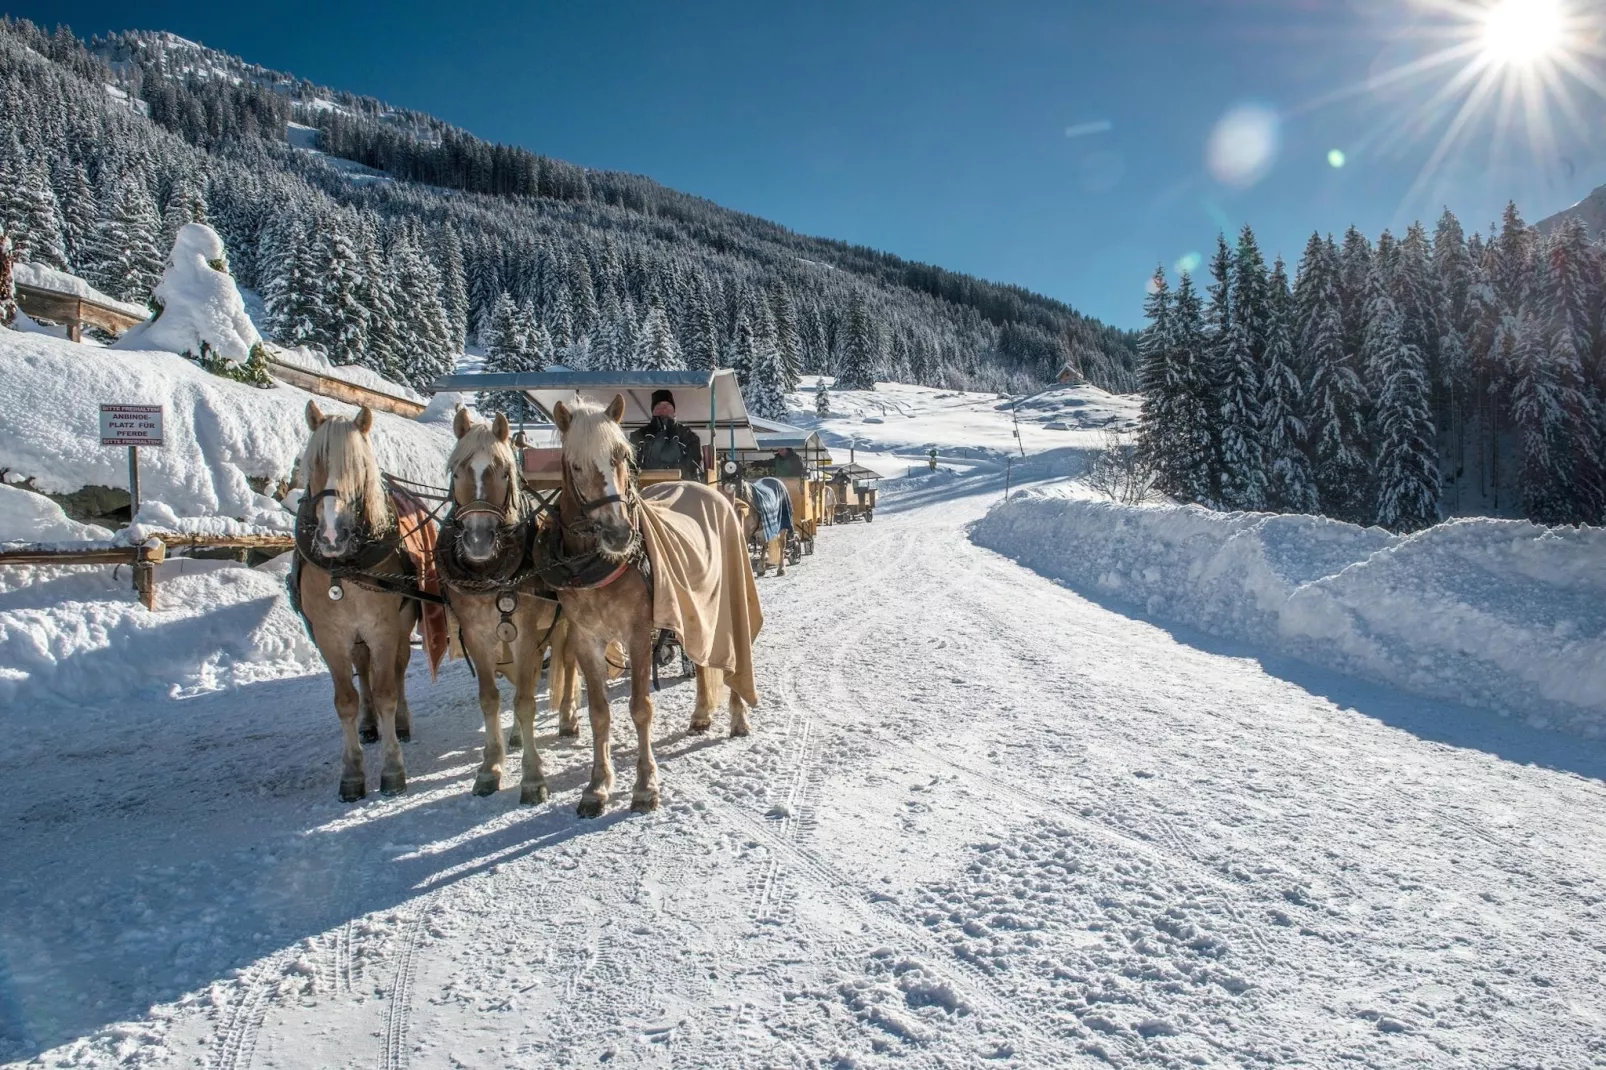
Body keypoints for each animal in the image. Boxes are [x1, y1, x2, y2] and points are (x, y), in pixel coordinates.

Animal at [297, 401, 417, 800]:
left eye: (359, 467)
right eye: (314, 463)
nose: (333, 536)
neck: (345, 568)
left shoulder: (383, 628)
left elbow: (386, 691)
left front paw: (393, 770)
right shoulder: (329, 636)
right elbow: (345, 700)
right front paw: (351, 773)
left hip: (401, 623)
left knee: (397, 669)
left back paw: (401, 723)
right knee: (362, 668)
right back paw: (369, 725)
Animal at [446, 408, 578, 800]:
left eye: (504, 472)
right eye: (456, 471)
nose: (477, 540)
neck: (492, 574)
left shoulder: (525, 633)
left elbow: (524, 701)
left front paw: (532, 777)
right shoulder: (477, 635)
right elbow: (491, 699)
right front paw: (490, 767)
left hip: (563, 623)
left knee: (568, 665)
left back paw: (567, 718)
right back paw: (518, 737)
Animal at [549, 395, 748, 812]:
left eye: (622, 456)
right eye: (575, 464)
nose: (618, 533)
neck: (597, 565)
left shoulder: (638, 634)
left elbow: (641, 708)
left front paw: (644, 786)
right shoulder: (585, 639)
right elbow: (599, 713)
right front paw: (597, 786)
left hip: (726, 602)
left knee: (732, 656)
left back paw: (738, 718)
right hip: (694, 609)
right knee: (703, 659)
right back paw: (701, 714)